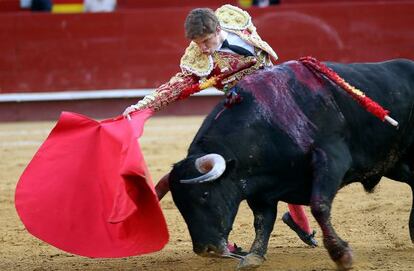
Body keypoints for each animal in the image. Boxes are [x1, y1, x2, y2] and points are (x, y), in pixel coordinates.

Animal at [162, 58, 414, 270]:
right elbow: (263, 221)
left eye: (205, 195)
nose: (206, 249)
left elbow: (319, 205)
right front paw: (254, 256)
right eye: (179, 204)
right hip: (395, 163)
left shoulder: (331, 158)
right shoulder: (259, 187)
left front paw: (342, 255)